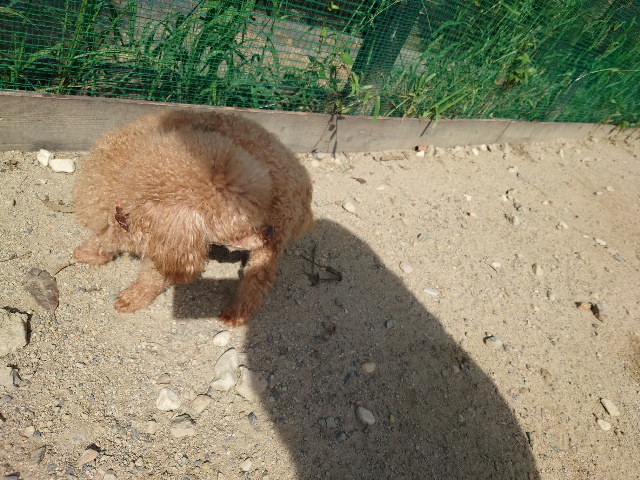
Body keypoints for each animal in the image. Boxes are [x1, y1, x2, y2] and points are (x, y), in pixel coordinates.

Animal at [73, 110, 314, 326]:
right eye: (240, 230)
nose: (268, 231)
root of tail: (302, 177)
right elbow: (105, 239)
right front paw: (89, 253)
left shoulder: (172, 251)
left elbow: (152, 278)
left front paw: (133, 298)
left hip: (270, 243)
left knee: (257, 281)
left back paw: (236, 314)